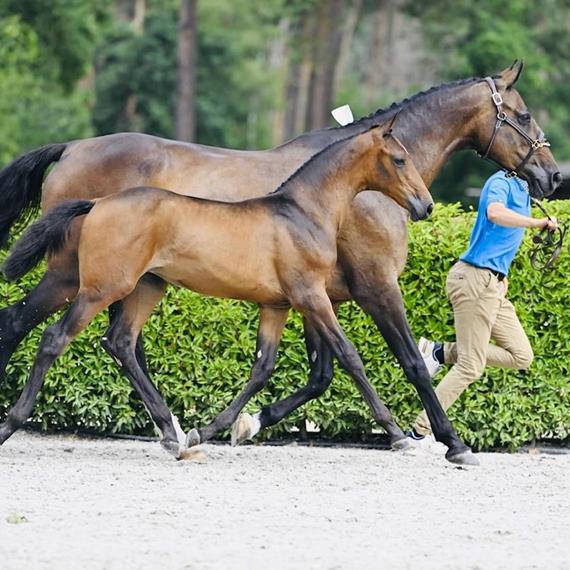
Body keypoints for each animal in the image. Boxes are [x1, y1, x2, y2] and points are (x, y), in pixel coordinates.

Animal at [2, 123, 434, 458]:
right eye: (399, 159)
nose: (425, 206)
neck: (302, 212)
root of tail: (95, 203)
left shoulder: (277, 304)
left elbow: (263, 367)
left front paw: (212, 430)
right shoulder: (312, 296)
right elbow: (350, 357)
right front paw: (397, 434)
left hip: (145, 288)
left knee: (120, 341)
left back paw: (171, 434)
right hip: (98, 287)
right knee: (51, 336)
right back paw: (12, 423)